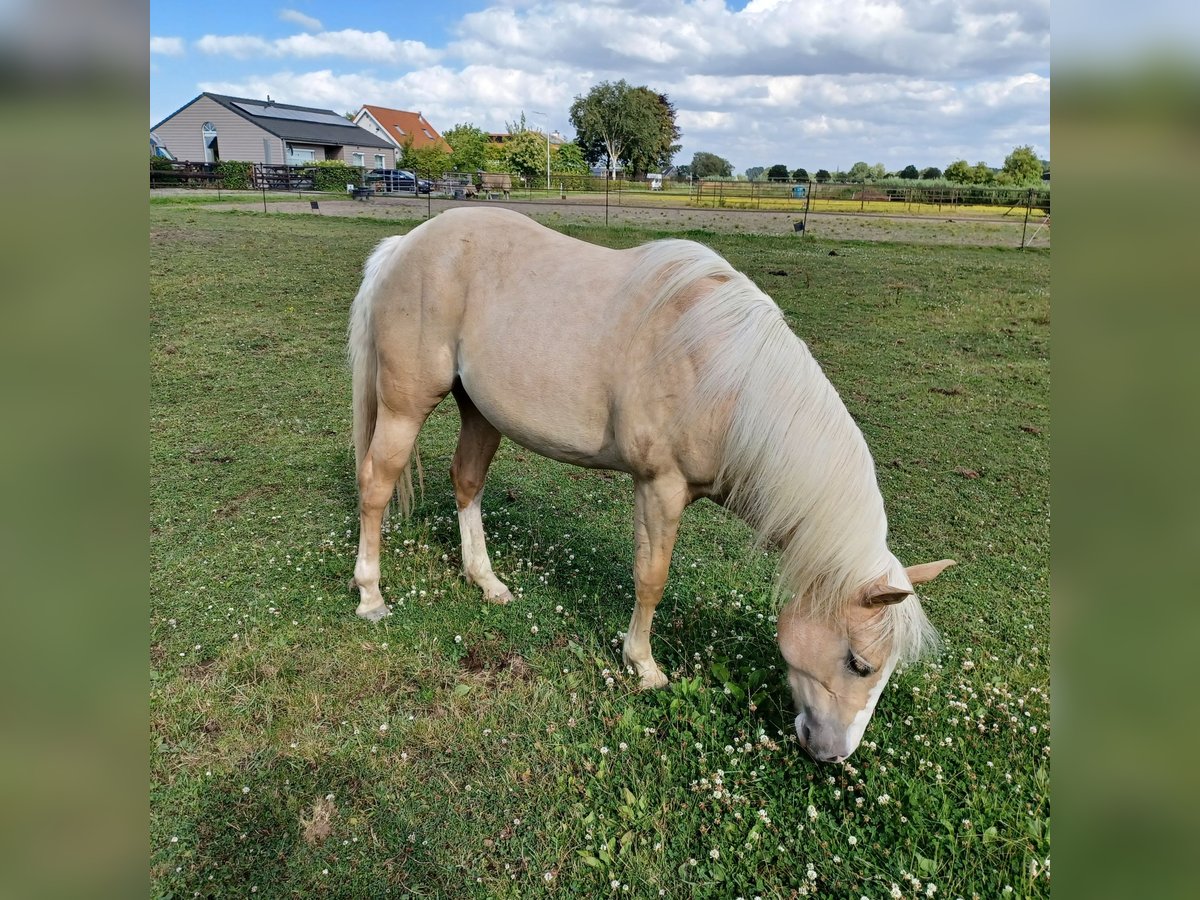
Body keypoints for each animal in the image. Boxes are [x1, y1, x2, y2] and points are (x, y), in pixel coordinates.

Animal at [350, 207, 955, 763]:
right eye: (859, 663)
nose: (833, 754)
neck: (724, 378)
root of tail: (407, 244)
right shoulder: (659, 488)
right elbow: (651, 579)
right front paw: (642, 665)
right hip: (405, 408)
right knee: (376, 487)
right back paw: (371, 596)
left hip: (479, 410)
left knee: (467, 482)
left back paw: (487, 582)